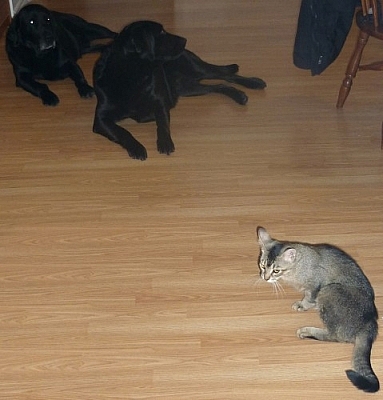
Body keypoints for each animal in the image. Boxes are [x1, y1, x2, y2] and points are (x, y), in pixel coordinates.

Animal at [93, 19, 268, 159]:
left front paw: (165, 142)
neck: (133, 75)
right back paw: (238, 95)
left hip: (195, 68)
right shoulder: (101, 119)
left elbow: (162, 123)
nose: (185, 39)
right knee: (219, 85)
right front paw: (137, 147)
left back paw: (254, 83)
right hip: (189, 87)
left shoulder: (160, 102)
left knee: (225, 74)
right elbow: (122, 131)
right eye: (161, 32)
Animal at [256, 227, 380, 392]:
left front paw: (303, 305)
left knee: (335, 336)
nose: (265, 277)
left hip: (330, 290)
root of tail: (370, 323)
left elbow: (309, 297)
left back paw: (306, 331)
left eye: (276, 270)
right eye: (263, 265)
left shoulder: (316, 286)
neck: (297, 267)